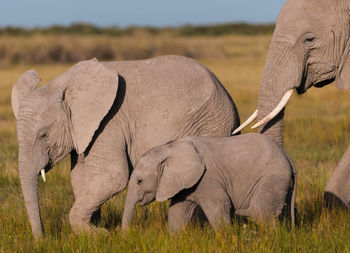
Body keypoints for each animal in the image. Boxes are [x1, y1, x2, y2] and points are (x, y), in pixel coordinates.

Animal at [11, 54, 241, 238]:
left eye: (43, 135)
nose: (43, 239)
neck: (64, 86)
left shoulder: (109, 123)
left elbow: (112, 176)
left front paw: (99, 234)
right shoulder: (83, 131)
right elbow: (80, 178)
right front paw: (92, 230)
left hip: (212, 124)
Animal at [121, 132, 296, 231]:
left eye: (139, 181)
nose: (125, 237)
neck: (169, 147)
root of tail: (289, 158)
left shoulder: (207, 179)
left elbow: (219, 206)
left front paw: (226, 237)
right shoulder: (185, 183)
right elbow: (178, 211)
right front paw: (175, 239)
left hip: (272, 179)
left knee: (261, 213)